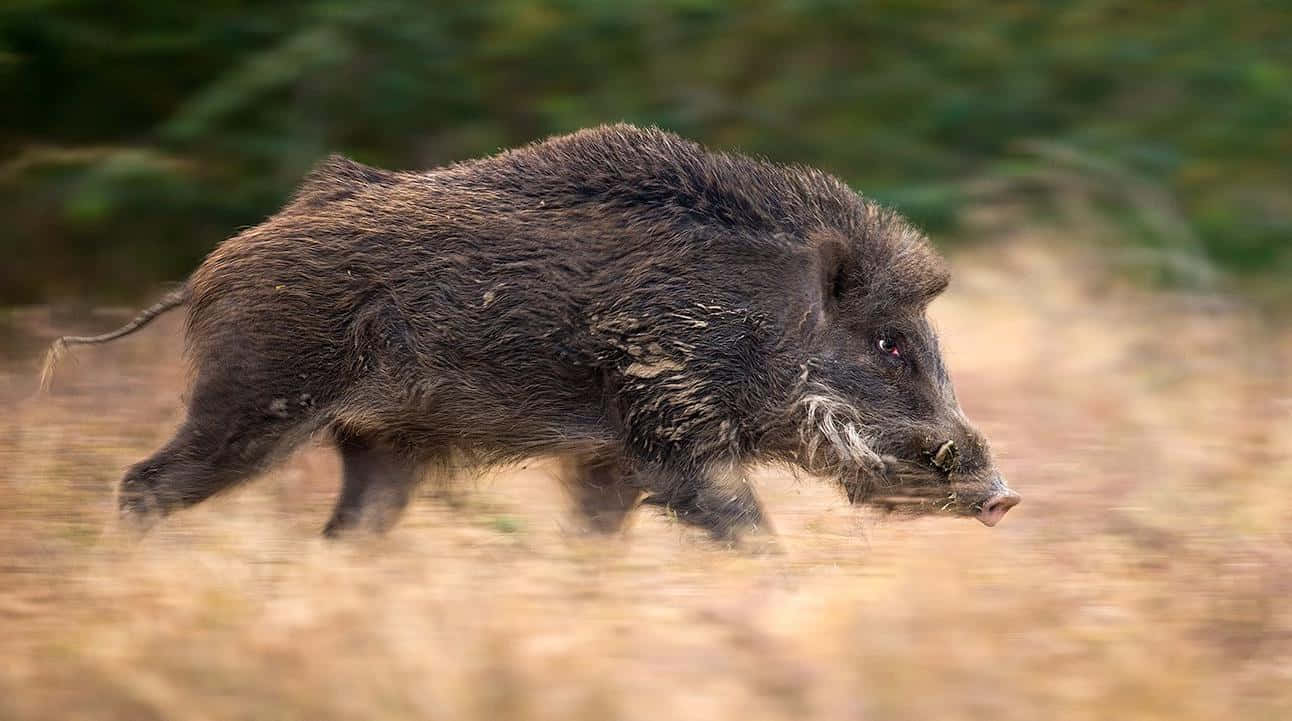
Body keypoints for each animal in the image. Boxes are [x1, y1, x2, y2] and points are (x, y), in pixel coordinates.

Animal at [42, 124, 1019, 544]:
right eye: (890, 343)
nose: (1003, 494)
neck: (759, 322)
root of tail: (215, 265)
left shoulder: (612, 457)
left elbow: (594, 537)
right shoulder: (668, 429)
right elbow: (744, 527)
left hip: (378, 441)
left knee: (348, 527)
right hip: (257, 393)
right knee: (144, 482)